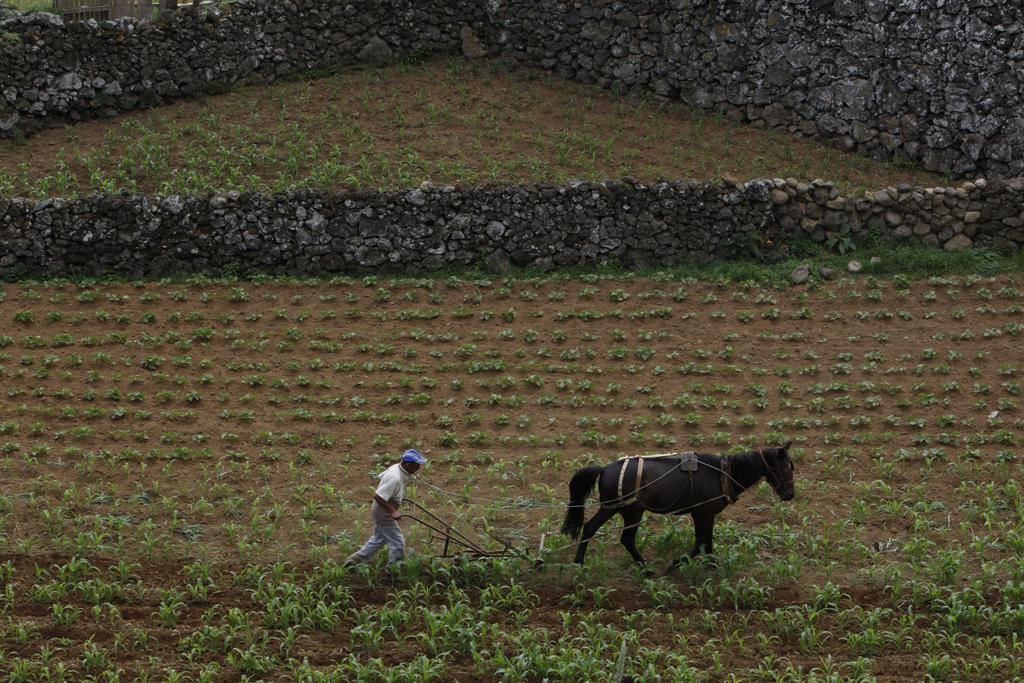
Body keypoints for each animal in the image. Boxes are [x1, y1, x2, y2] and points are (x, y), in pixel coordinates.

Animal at [565, 444, 794, 573]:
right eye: (785, 468)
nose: (790, 494)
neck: (723, 474)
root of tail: (604, 469)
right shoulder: (702, 513)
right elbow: (702, 543)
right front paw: (678, 564)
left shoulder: (705, 514)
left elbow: (705, 542)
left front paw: (708, 565)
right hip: (626, 510)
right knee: (616, 536)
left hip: (620, 509)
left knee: (596, 530)